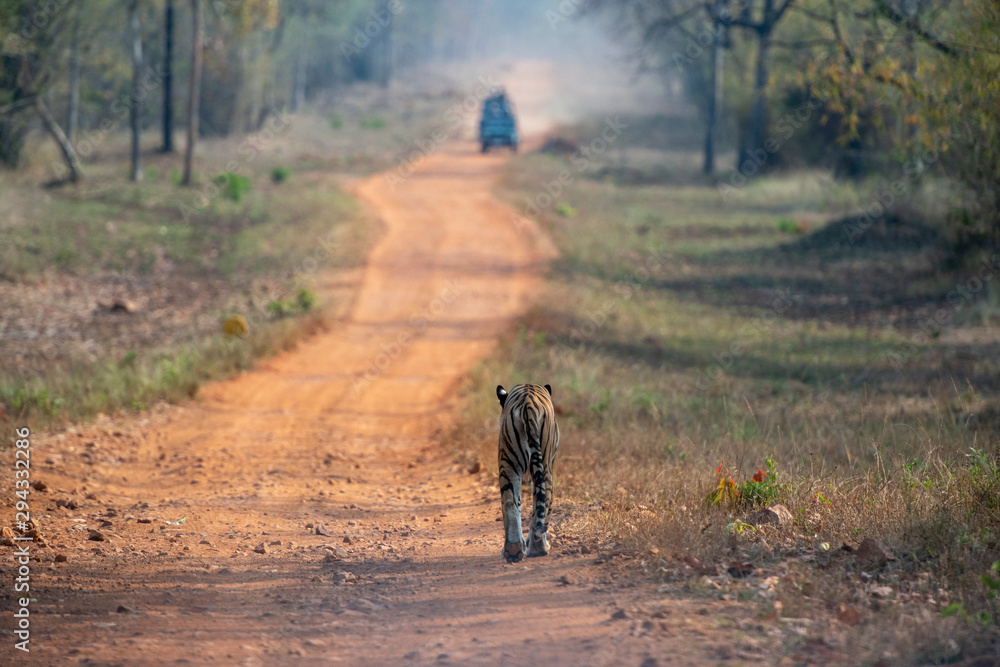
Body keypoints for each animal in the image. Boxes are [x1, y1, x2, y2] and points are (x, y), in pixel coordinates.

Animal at [496, 380, 560, 564]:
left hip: (509, 463)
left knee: (509, 501)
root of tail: (528, 404)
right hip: (544, 466)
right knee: (544, 501)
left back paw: (513, 550)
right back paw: (538, 549)